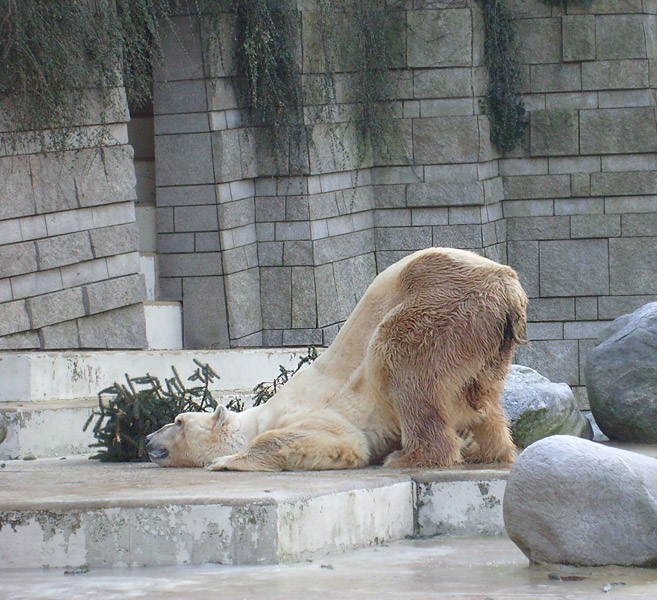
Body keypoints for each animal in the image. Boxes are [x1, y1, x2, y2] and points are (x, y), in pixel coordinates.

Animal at [146, 246, 524, 472]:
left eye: (177, 421)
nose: (147, 438)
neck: (260, 416)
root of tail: (507, 287)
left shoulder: (309, 412)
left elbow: (337, 441)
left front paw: (226, 460)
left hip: (437, 308)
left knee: (398, 366)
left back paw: (407, 456)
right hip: (484, 342)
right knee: (482, 398)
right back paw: (488, 450)